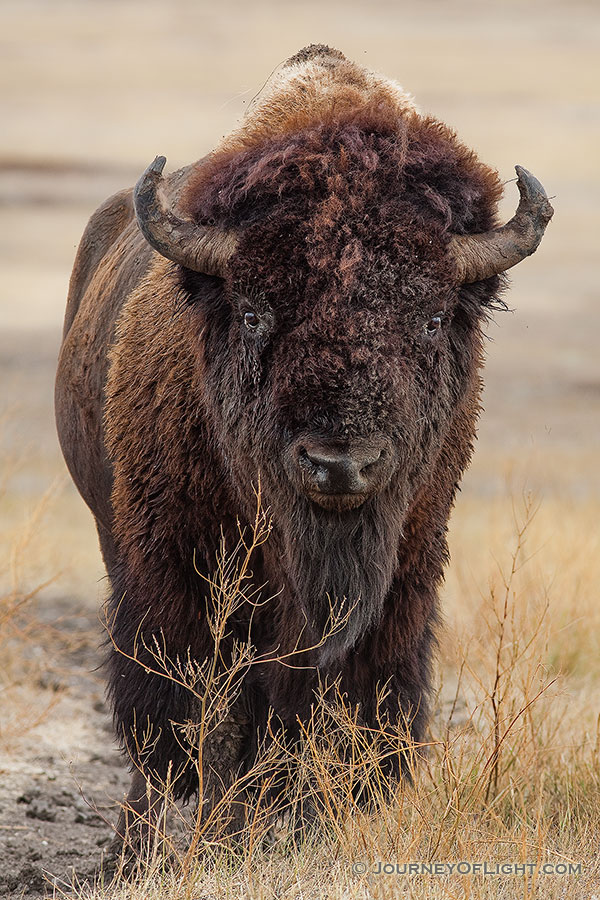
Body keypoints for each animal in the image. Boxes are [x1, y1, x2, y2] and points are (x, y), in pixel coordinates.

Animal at [55, 45, 552, 852]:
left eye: (431, 316)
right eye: (255, 312)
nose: (340, 463)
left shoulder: (402, 576)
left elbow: (335, 705)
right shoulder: (175, 569)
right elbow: (193, 712)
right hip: (114, 536)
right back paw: (135, 846)